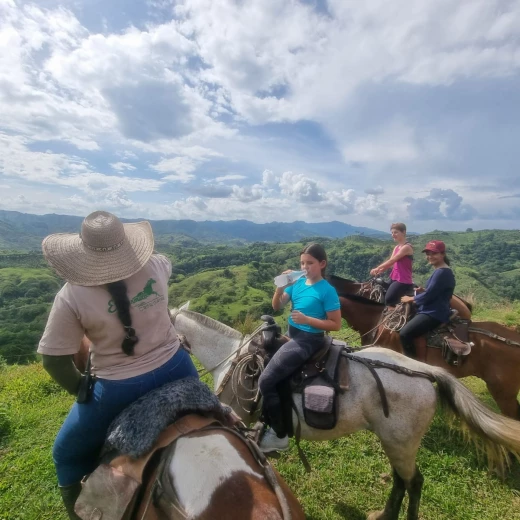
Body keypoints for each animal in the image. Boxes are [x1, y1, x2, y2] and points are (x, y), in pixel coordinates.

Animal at [171, 304, 520, 520]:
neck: (232, 358)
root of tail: (424, 371)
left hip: (402, 441)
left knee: (414, 482)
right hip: (395, 440)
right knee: (401, 479)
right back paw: (384, 514)